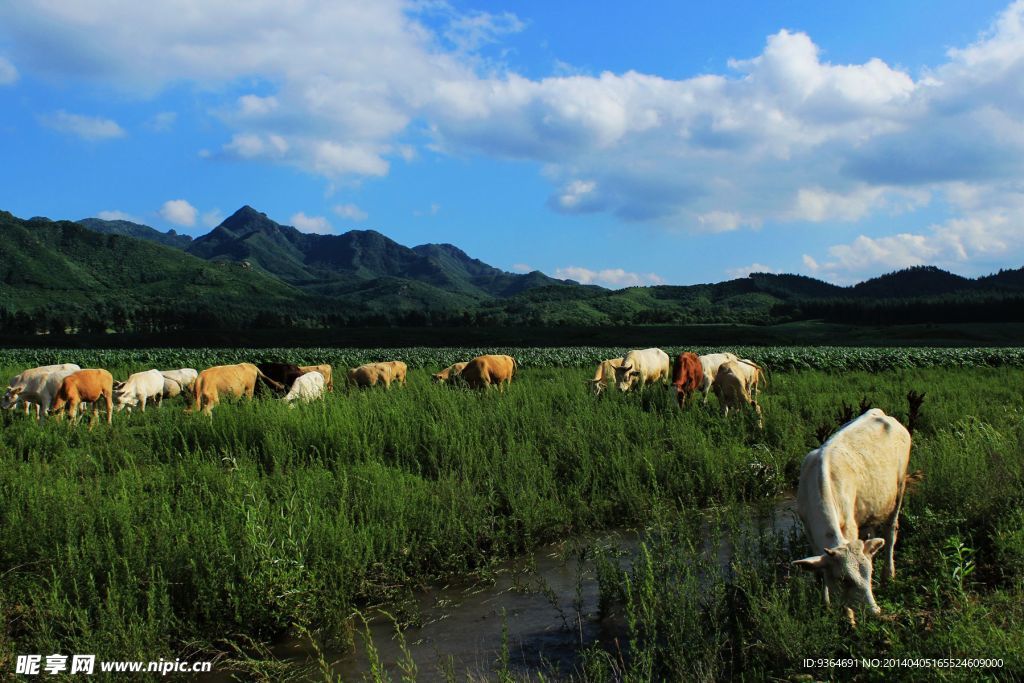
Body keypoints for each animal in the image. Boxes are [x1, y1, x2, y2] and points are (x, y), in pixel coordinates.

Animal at [794, 409, 917, 626]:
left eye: (869, 573)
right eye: (845, 580)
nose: (875, 610)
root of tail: (880, 412)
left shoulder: (850, 526)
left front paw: (849, 618)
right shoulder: (807, 528)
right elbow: (821, 570)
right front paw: (826, 603)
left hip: (900, 488)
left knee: (891, 531)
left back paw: (889, 574)